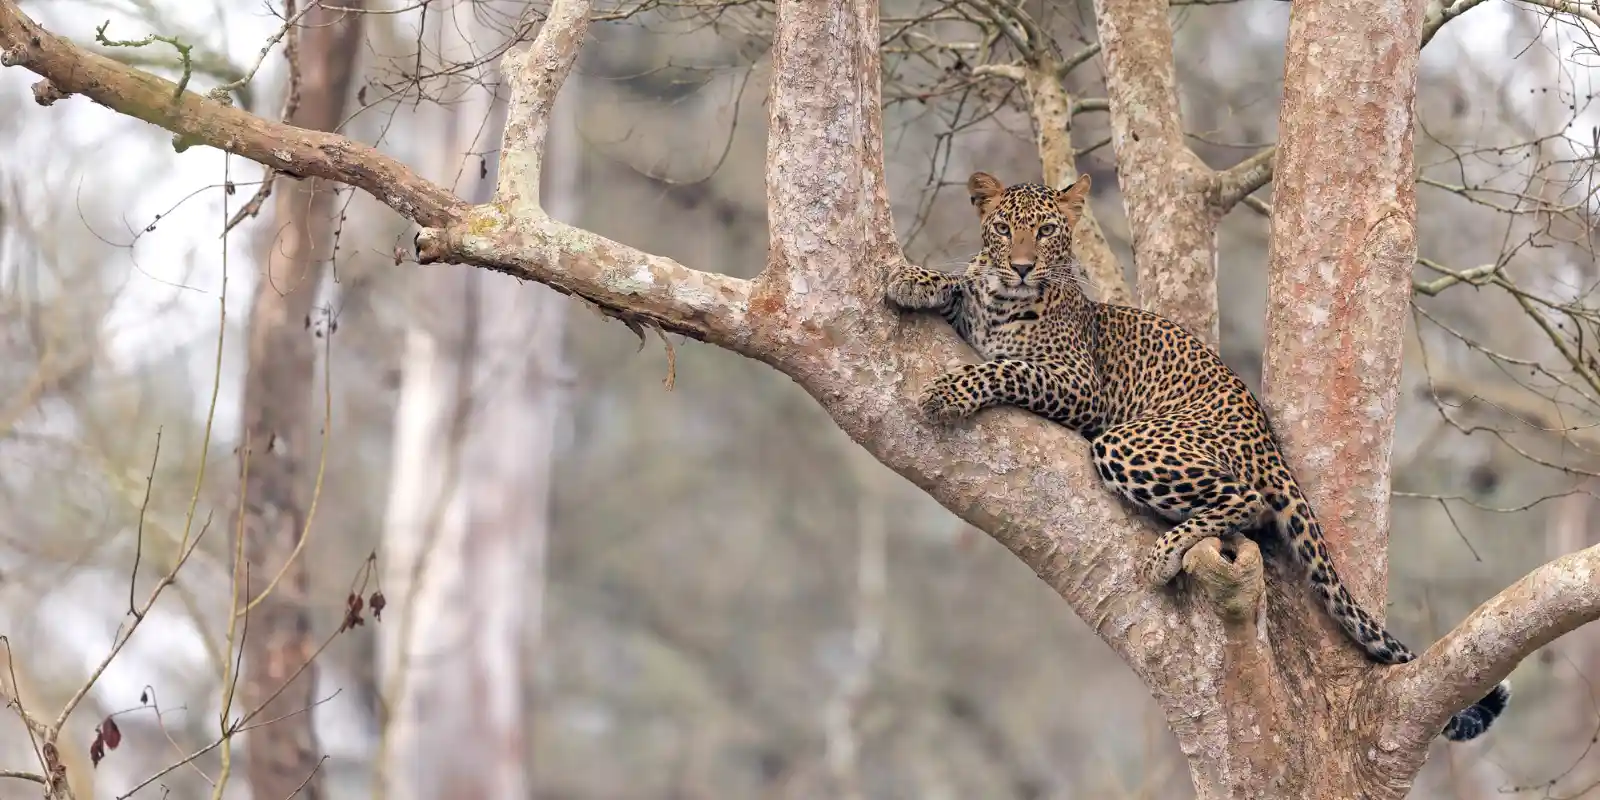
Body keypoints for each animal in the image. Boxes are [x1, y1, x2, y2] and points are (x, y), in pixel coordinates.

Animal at [884, 170, 1511, 742]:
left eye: (1046, 231)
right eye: (1003, 229)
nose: (1020, 266)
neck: (1004, 303)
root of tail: (1266, 440)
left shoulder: (1078, 384)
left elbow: (1008, 367)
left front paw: (949, 391)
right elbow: (961, 286)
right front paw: (913, 279)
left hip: (1133, 441)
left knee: (1248, 501)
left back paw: (1165, 552)